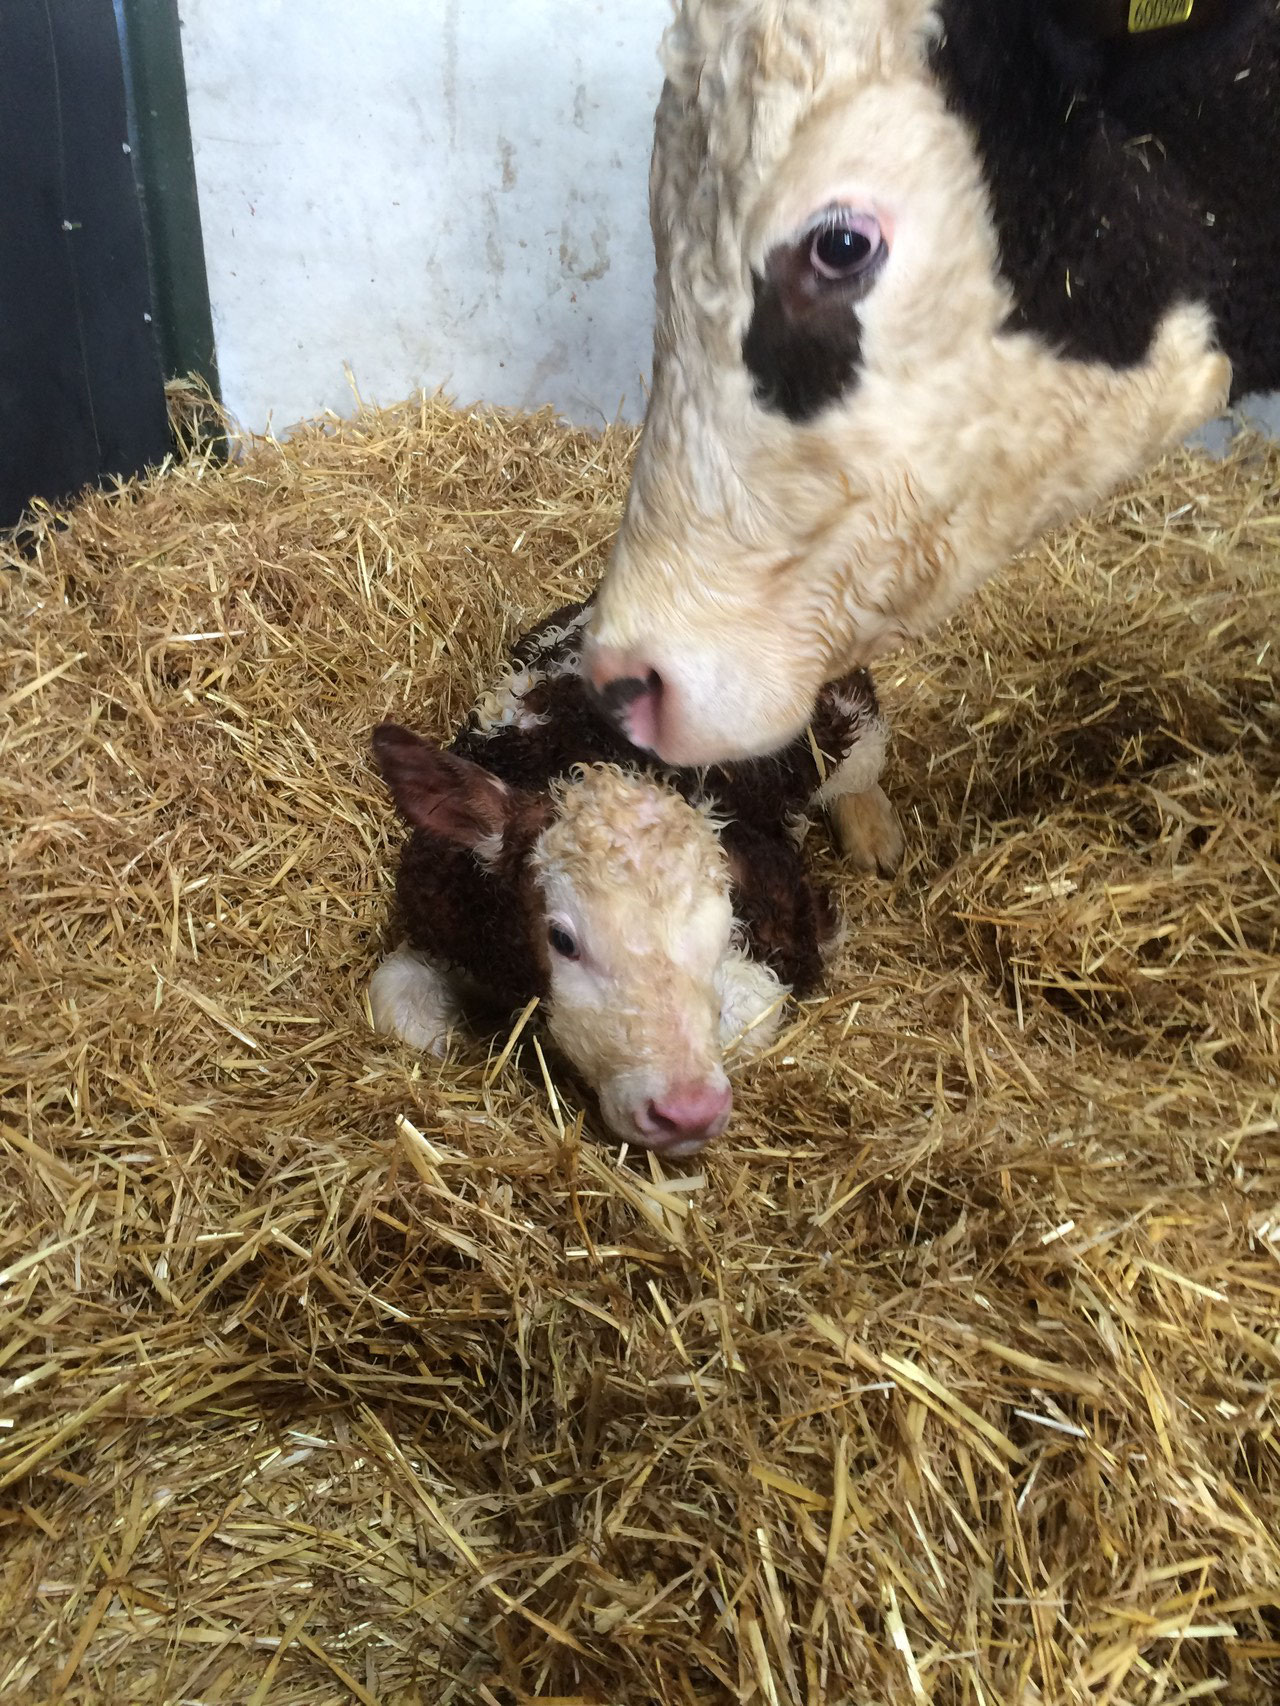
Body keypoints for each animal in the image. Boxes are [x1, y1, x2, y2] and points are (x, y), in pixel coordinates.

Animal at [370, 597, 901, 1160]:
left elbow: (745, 1023)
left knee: (862, 765)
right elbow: (397, 1008)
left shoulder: (786, 923)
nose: (688, 1112)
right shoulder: (445, 908)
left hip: (846, 712)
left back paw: (874, 835)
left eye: (722, 926)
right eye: (562, 939)